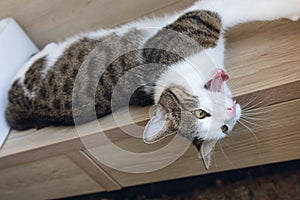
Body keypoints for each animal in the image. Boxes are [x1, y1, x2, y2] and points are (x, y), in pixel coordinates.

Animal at [5, 0, 298, 169]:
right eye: (201, 115)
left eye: (224, 127)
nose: (230, 112)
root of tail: (13, 112)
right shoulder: (200, 17)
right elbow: (245, 6)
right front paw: (293, 9)